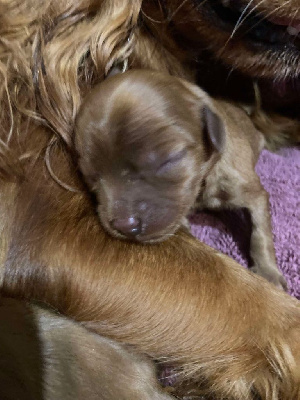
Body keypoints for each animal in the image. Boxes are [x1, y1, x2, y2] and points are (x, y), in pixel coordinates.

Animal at [75, 69, 286, 290]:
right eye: (90, 175)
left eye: (168, 160)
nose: (124, 225)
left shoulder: (250, 191)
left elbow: (260, 232)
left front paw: (268, 272)